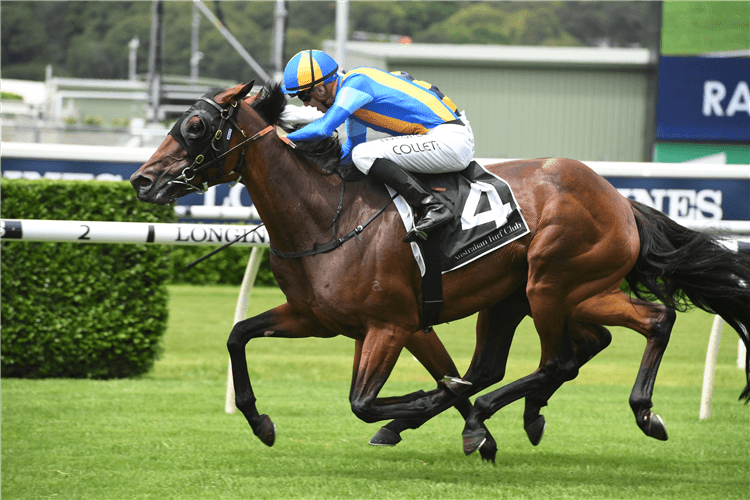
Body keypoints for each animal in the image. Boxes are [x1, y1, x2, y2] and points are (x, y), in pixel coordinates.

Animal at [132, 82, 750, 460]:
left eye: (193, 126)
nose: (142, 180)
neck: (326, 217)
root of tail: (619, 198)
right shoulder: (325, 319)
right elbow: (238, 335)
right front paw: (260, 422)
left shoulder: (391, 324)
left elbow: (367, 401)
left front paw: (447, 418)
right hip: (524, 297)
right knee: (556, 352)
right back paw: (520, 415)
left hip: (556, 283)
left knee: (609, 338)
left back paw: (640, 413)